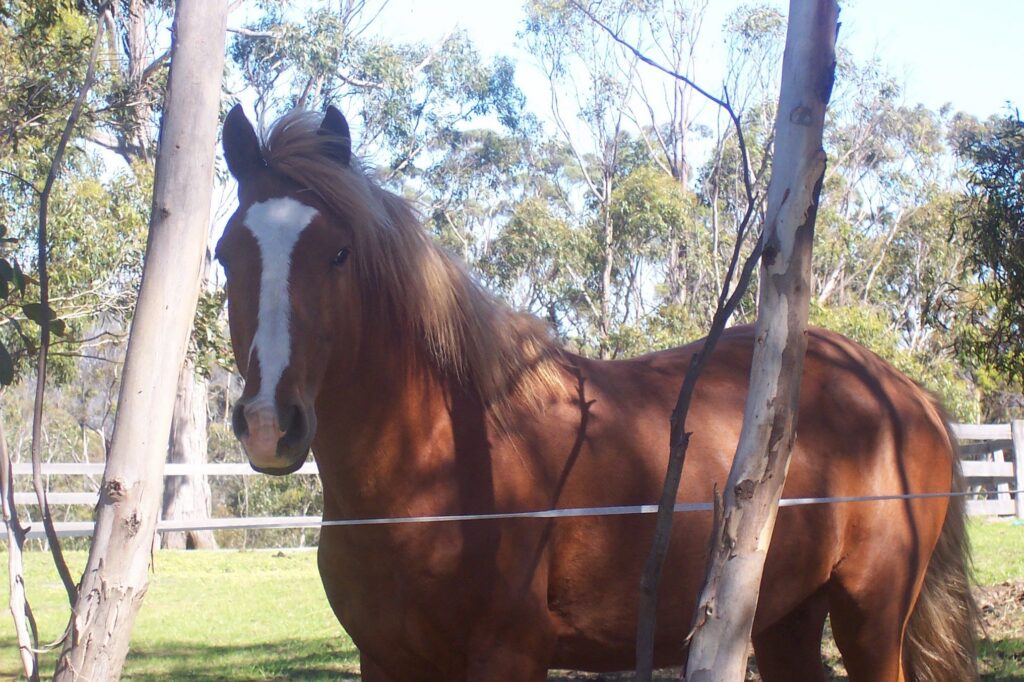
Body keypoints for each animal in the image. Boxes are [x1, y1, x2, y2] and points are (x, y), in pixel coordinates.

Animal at [216, 104, 978, 681]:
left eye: (340, 254)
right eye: (225, 255)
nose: (268, 423)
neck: (441, 465)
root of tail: (908, 394)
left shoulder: (509, 656)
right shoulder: (386, 661)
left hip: (869, 618)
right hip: (785, 619)